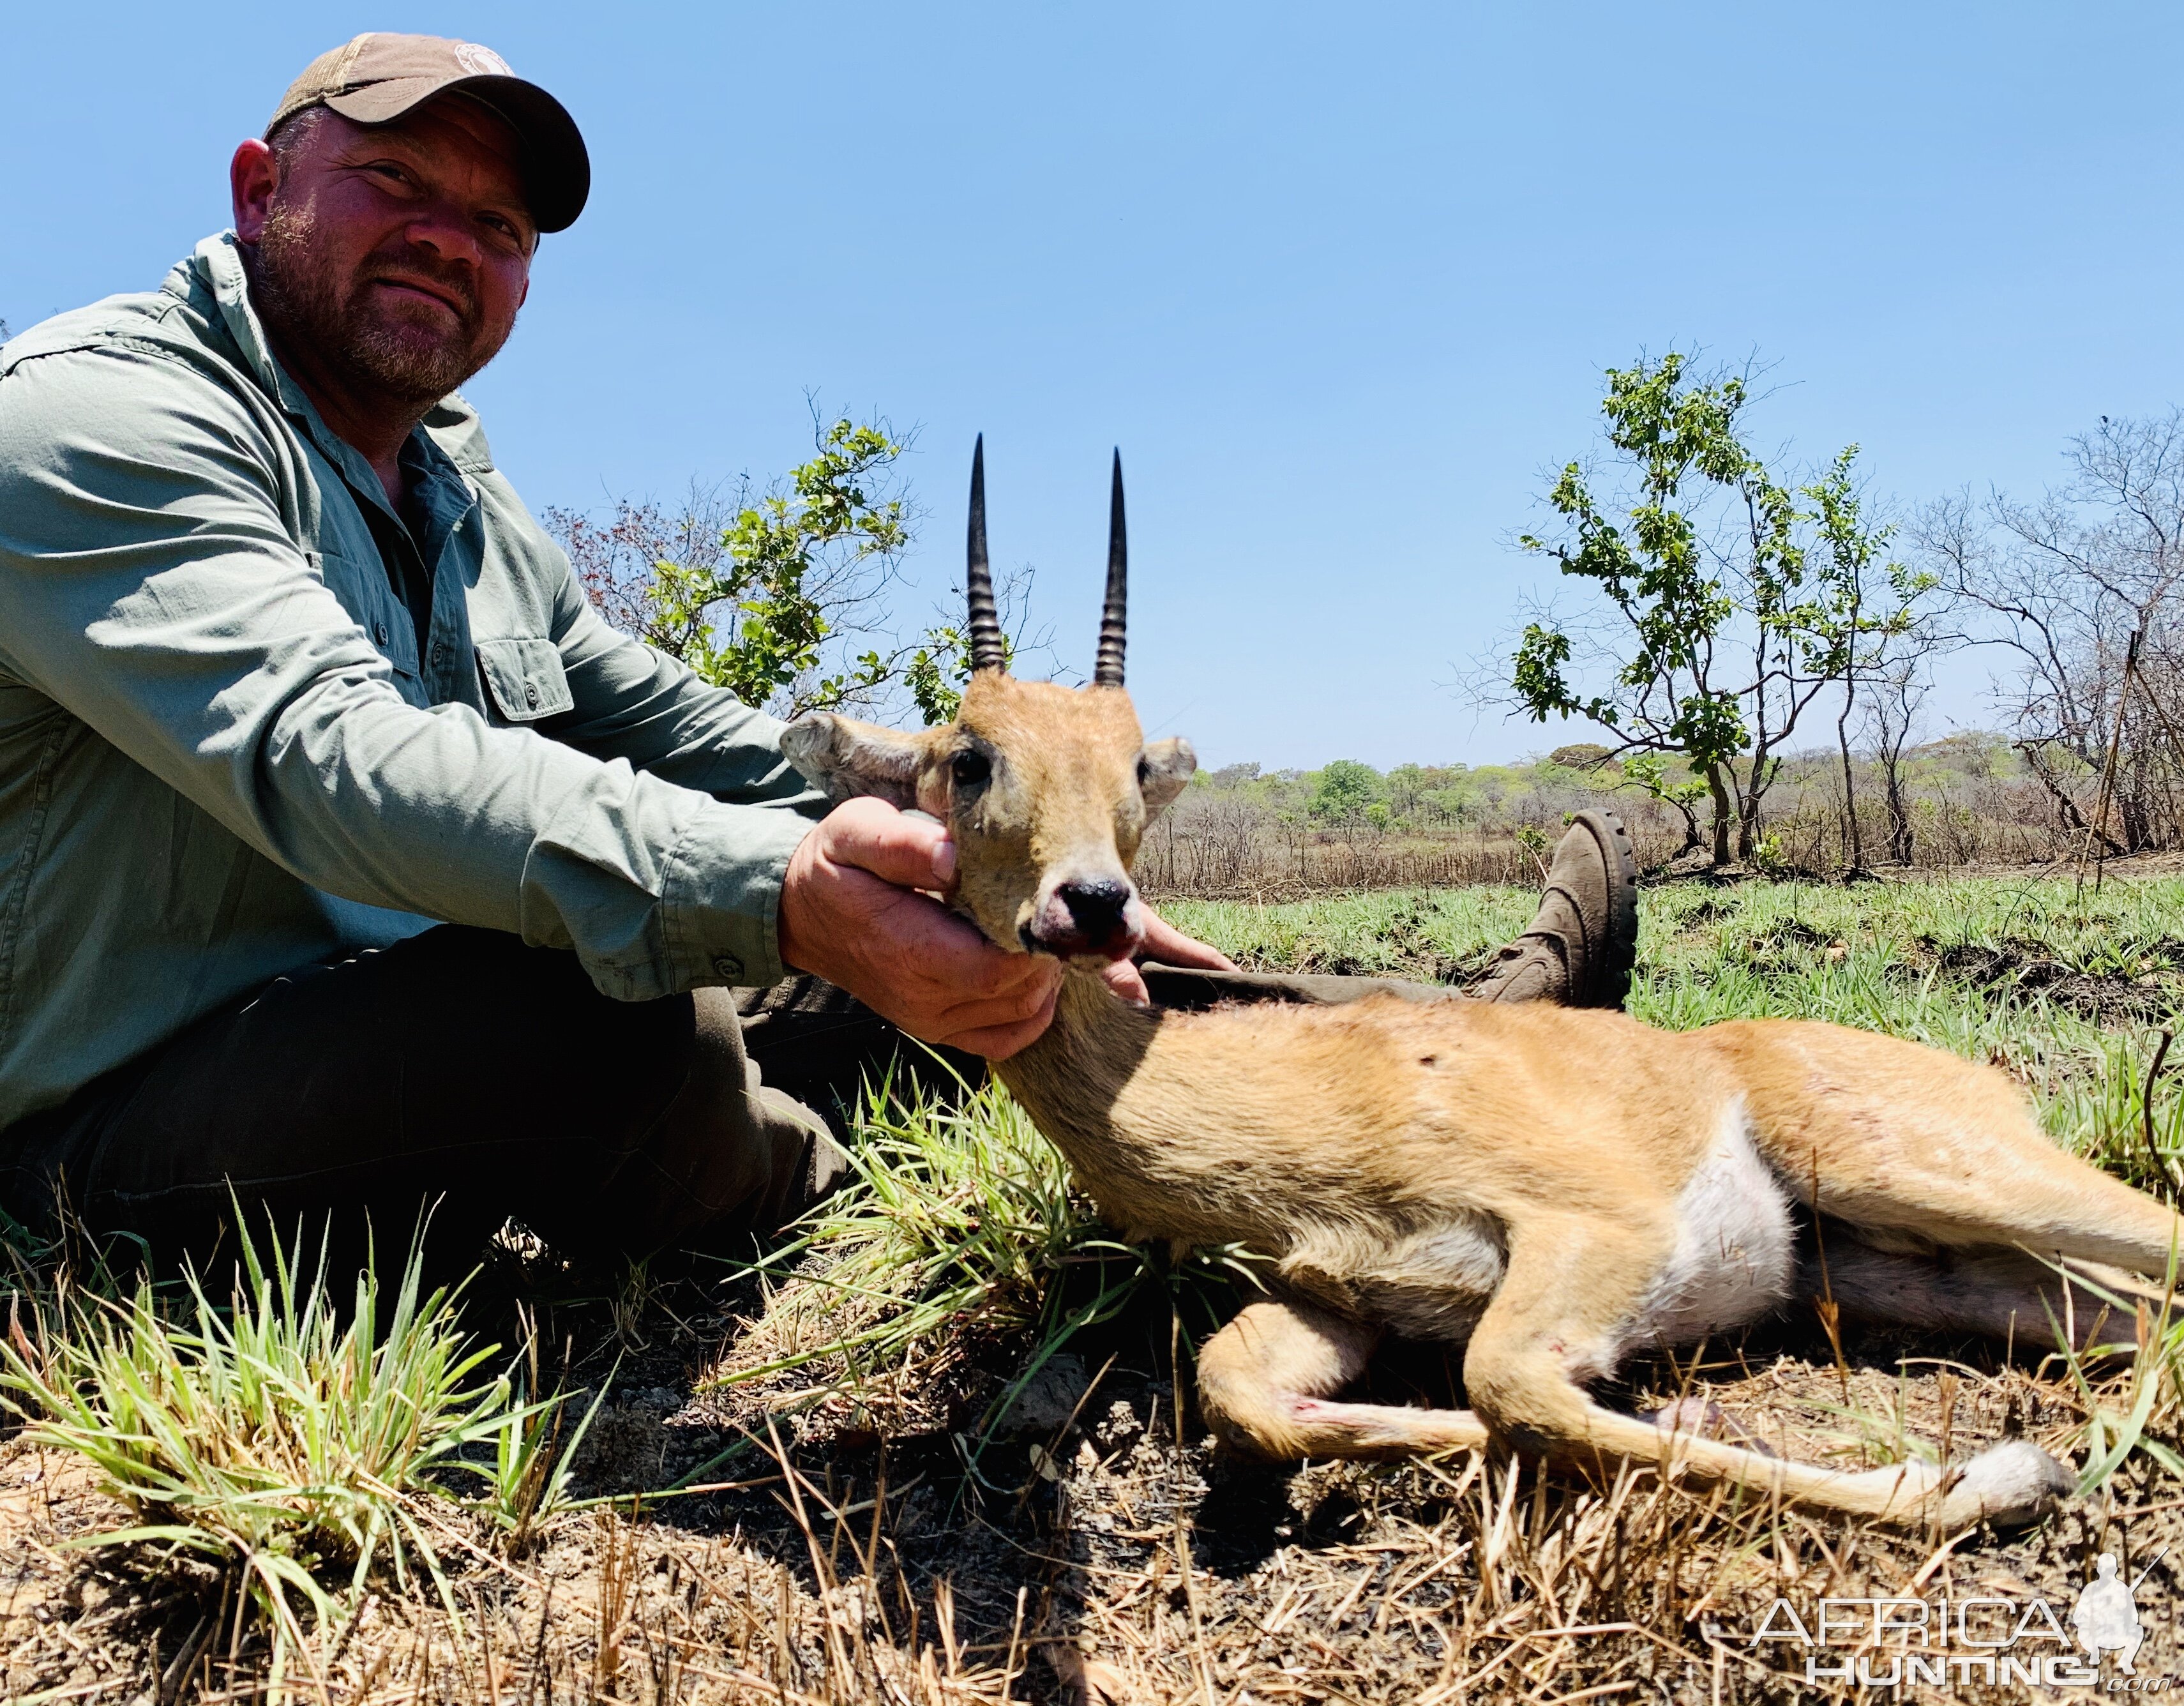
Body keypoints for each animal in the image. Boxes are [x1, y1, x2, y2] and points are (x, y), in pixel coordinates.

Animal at [790, 439, 2184, 1529]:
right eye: (969, 756)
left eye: (1136, 761)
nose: (1091, 905)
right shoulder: (1339, 1298)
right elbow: (1249, 1394)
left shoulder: (1598, 1232)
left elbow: (1511, 1389)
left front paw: (1997, 1475)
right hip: (1913, 1265)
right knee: (2131, 1304)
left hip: (1910, 1169)